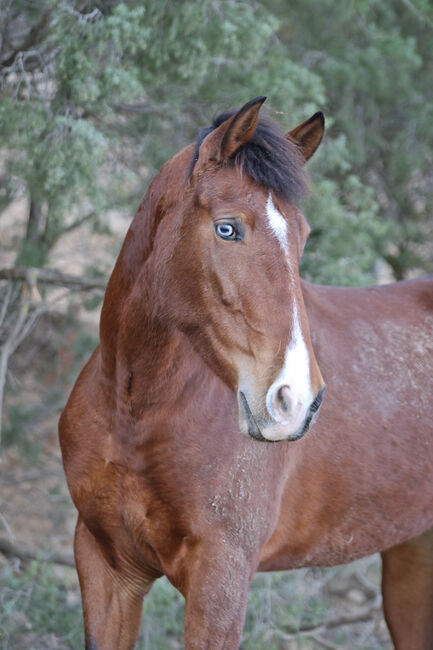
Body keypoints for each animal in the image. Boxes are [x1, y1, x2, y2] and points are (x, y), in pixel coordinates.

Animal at [58, 97, 432, 648]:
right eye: (227, 228)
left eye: (302, 236)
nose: (295, 400)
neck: (135, 411)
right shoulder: (106, 567)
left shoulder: (221, 581)